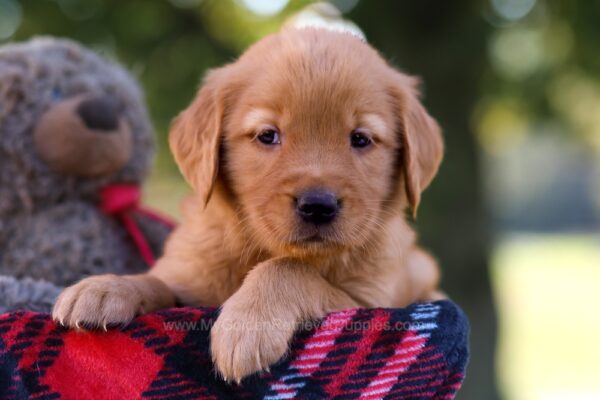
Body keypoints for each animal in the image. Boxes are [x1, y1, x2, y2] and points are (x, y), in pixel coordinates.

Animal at [54, 26, 442, 382]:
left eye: (361, 139)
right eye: (267, 135)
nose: (318, 206)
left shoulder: (372, 303)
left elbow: (289, 269)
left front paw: (247, 324)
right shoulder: (190, 279)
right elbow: (158, 282)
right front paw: (106, 287)